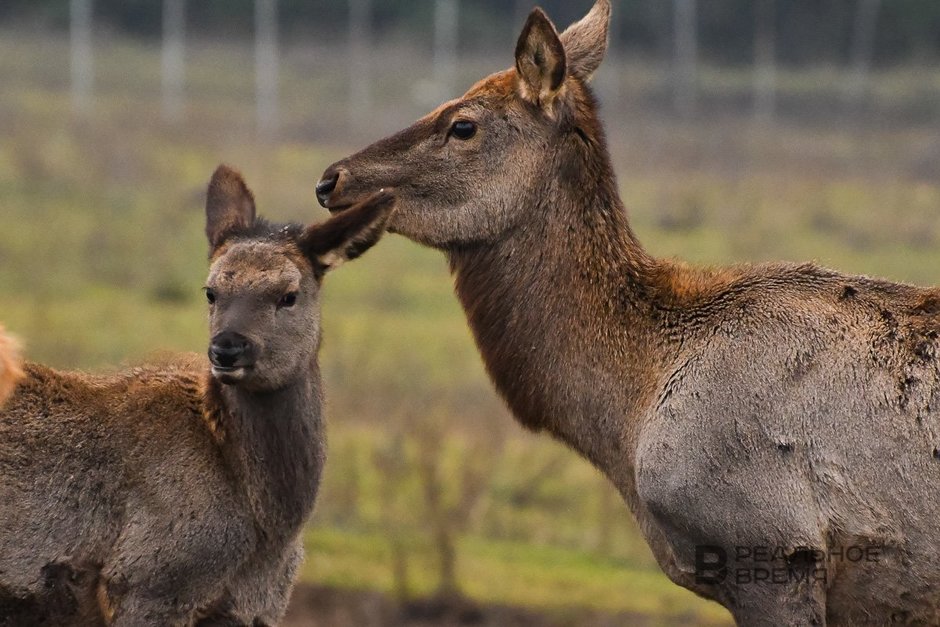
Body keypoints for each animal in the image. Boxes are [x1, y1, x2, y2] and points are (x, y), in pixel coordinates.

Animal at [0, 164, 394, 624]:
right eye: (211, 291)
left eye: (288, 295)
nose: (227, 348)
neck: (272, 529)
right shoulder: (147, 583)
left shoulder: (256, 607)